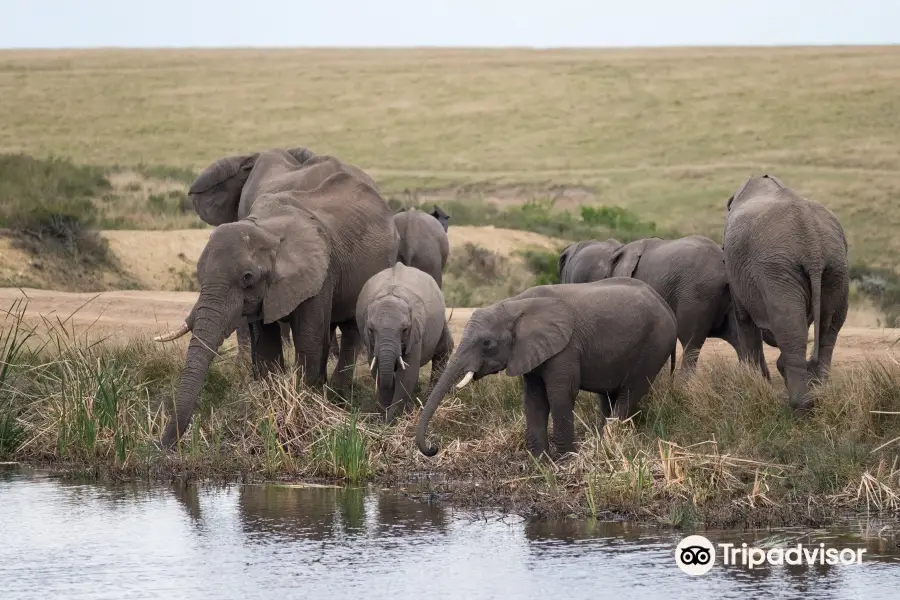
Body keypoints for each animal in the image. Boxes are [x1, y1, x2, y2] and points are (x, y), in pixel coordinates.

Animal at [153, 148, 400, 448]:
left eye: (247, 277)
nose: (164, 446)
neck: (268, 229)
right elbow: (267, 340)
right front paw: (271, 401)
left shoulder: (320, 270)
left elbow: (309, 337)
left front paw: (305, 402)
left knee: (351, 327)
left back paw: (338, 396)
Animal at [356, 262, 454, 422]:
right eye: (371, 329)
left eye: (405, 329)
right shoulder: (370, 340)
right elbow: (377, 370)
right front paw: (383, 419)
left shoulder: (415, 332)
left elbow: (407, 375)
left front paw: (391, 421)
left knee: (443, 351)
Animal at [414, 278, 676, 458]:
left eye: (487, 343)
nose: (434, 447)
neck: (515, 305)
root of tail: (666, 307)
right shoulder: (530, 351)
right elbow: (534, 397)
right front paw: (539, 459)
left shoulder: (565, 348)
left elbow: (560, 393)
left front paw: (564, 459)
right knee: (609, 397)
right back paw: (603, 444)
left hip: (654, 346)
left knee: (630, 392)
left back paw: (606, 444)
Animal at [720, 173, 848, 412]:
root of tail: (812, 246)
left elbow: (744, 320)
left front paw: (756, 383)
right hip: (834, 267)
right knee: (828, 328)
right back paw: (818, 392)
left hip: (779, 270)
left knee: (791, 329)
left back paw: (801, 407)